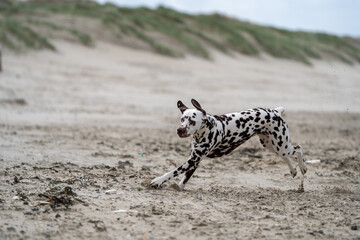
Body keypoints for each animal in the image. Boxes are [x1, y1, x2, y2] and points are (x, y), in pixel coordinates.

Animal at [149, 98, 306, 190]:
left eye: (192, 121)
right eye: (182, 119)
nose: (179, 130)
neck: (207, 128)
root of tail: (275, 111)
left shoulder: (192, 160)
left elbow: (173, 171)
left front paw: (158, 181)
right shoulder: (195, 160)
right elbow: (185, 178)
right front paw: (179, 186)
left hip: (281, 145)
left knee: (298, 148)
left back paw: (303, 168)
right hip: (272, 145)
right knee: (286, 156)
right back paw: (293, 170)